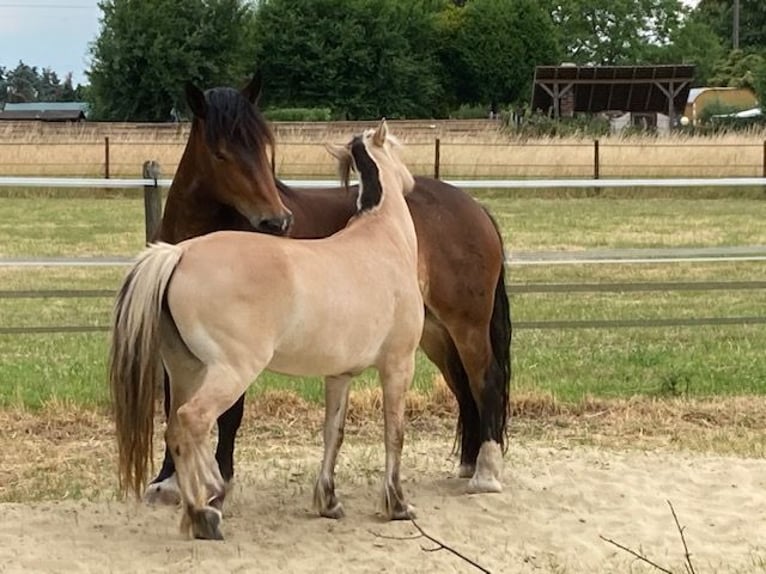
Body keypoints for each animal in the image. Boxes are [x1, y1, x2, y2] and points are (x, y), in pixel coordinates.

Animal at [111, 121, 426, 540]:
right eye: (395, 148)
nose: (412, 181)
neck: (381, 239)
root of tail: (179, 253)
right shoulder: (398, 365)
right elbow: (396, 432)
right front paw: (399, 504)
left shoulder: (339, 375)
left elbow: (334, 432)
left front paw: (329, 502)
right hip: (231, 371)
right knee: (193, 420)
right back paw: (210, 502)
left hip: (184, 371)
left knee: (176, 429)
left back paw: (201, 510)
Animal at [146, 75, 512, 504]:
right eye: (221, 154)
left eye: (264, 147)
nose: (277, 221)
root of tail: (474, 207)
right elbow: (174, 402)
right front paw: (168, 479)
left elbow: (230, 412)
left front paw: (220, 476)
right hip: (435, 333)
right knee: (462, 386)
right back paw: (469, 462)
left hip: (466, 325)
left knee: (486, 381)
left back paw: (485, 472)